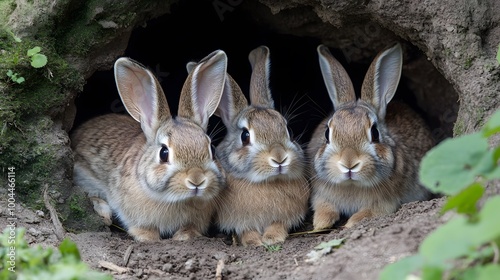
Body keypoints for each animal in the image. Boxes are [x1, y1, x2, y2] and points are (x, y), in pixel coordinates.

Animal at [207, 45, 308, 245]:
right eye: (245, 136)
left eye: (289, 131)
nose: (279, 158)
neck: (265, 182)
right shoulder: (239, 222)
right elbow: (246, 230)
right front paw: (253, 241)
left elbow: (278, 224)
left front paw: (272, 238)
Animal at [306, 42, 436, 230]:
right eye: (326, 133)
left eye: (375, 133)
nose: (349, 164)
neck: (352, 185)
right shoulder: (320, 194)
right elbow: (324, 206)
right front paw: (321, 223)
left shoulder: (385, 203)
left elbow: (369, 212)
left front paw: (351, 223)